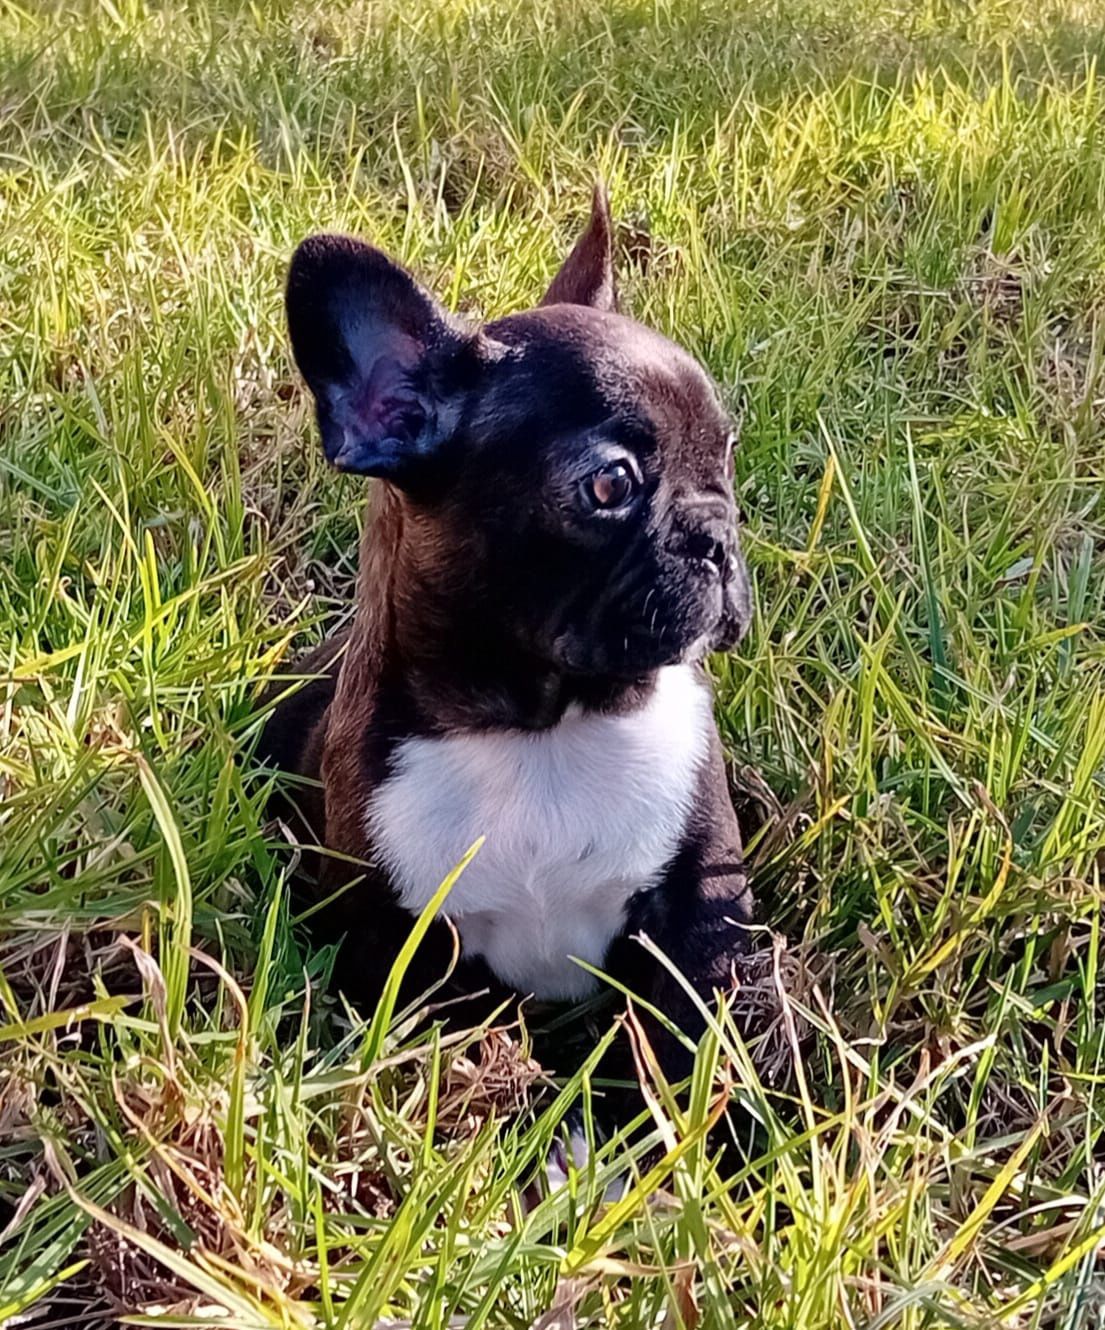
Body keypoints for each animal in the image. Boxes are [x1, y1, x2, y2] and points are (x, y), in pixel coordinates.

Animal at [260, 184, 760, 1101]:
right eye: (610, 485)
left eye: (727, 456)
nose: (718, 536)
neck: (545, 729)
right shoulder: (404, 950)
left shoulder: (697, 918)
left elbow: (696, 1047)